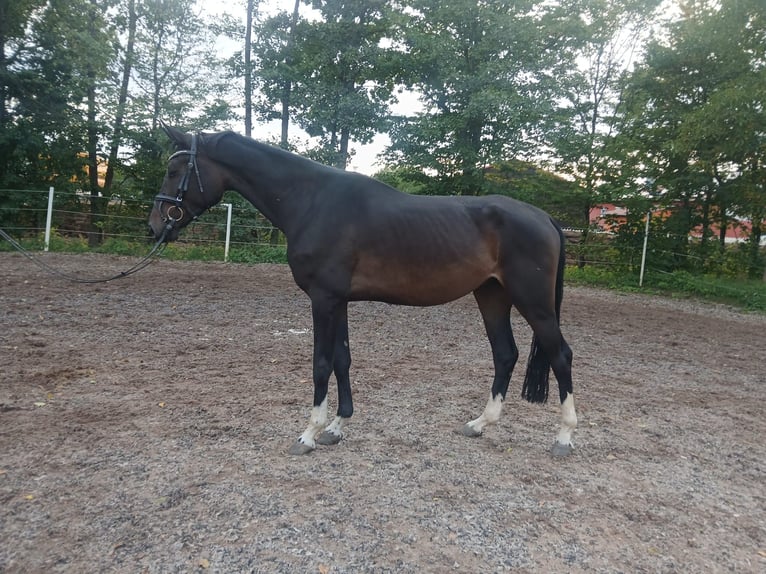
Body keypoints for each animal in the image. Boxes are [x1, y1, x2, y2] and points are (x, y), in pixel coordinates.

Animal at [148, 125, 578, 457]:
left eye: (173, 170)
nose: (155, 226)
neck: (312, 201)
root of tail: (544, 217)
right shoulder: (337, 301)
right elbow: (343, 359)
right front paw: (337, 427)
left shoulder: (323, 300)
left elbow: (321, 364)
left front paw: (309, 434)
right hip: (491, 296)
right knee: (505, 354)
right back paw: (478, 424)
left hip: (534, 303)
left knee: (560, 355)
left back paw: (564, 438)